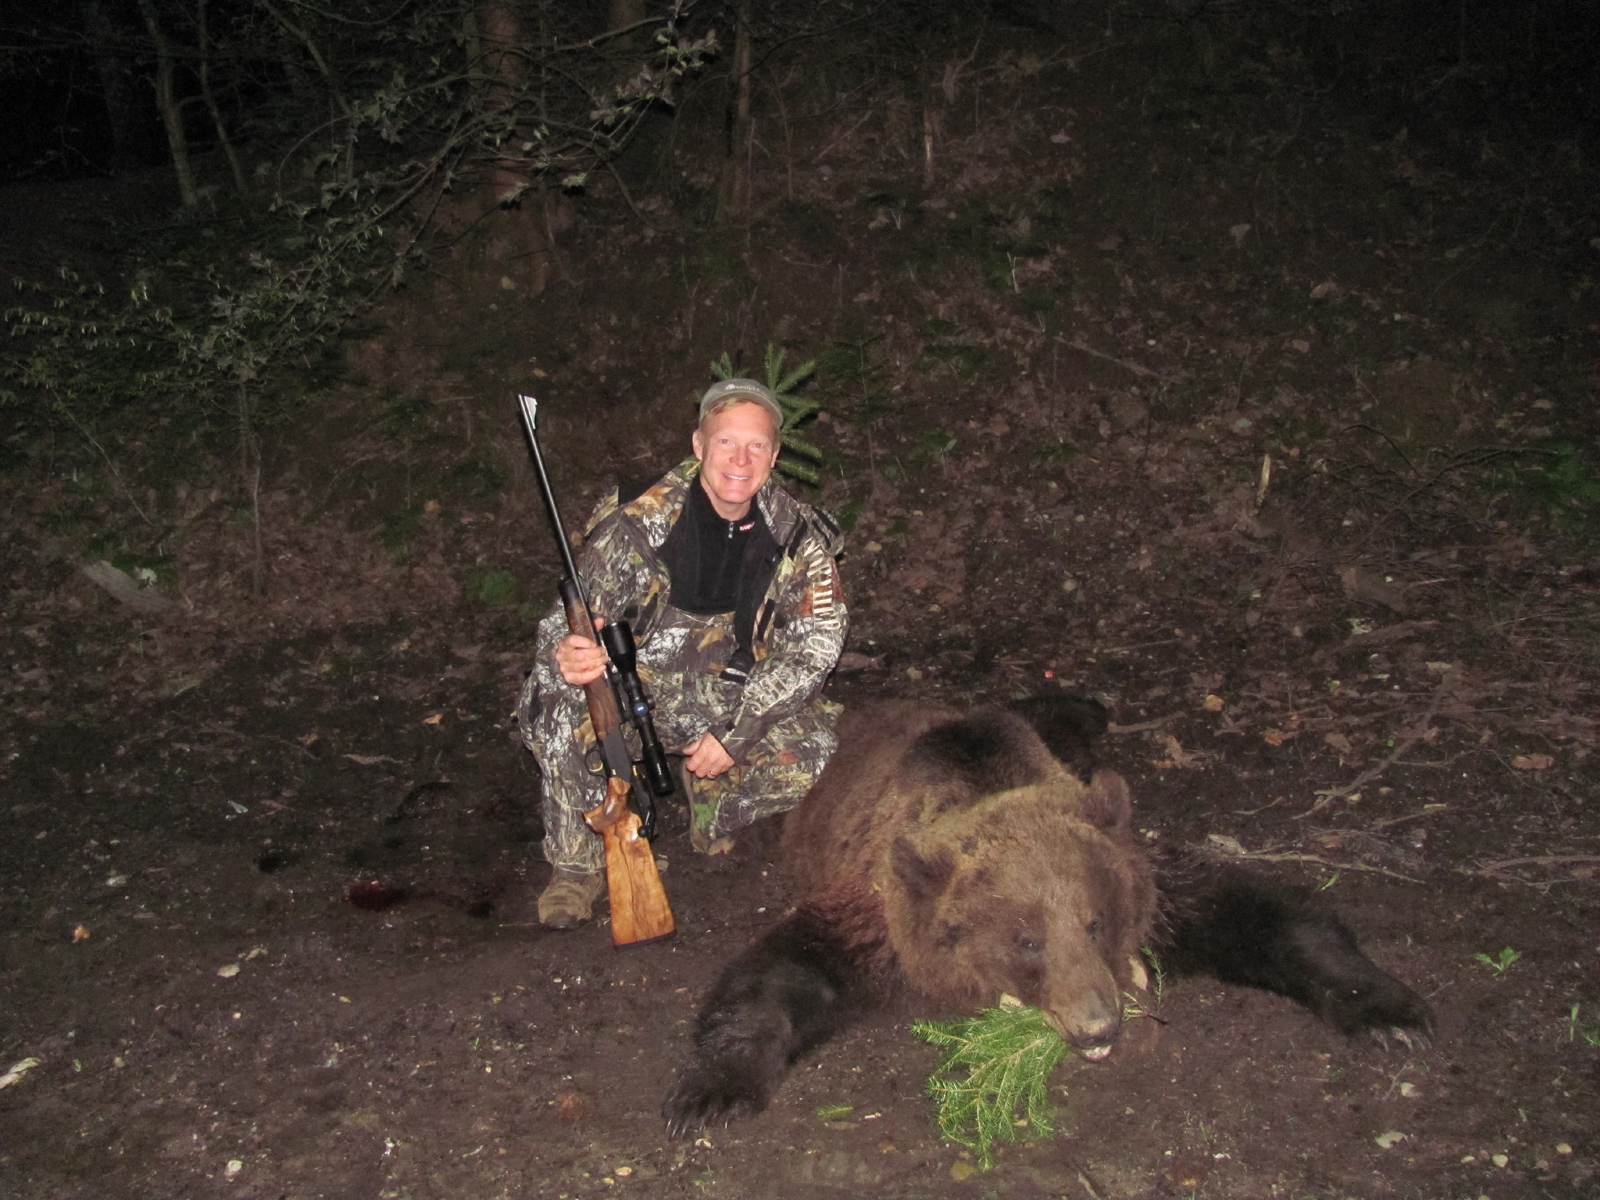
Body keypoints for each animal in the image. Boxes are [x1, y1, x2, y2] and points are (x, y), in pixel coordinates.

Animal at [656, 694, 1433, 1139]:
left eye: (1094, 922)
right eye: (1026, 940)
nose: (1098, 1024)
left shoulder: (1151, 887)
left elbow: (1260, 913)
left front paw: (1389, 1012)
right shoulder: (884, 915)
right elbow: (786, 966)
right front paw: (710, 1092)